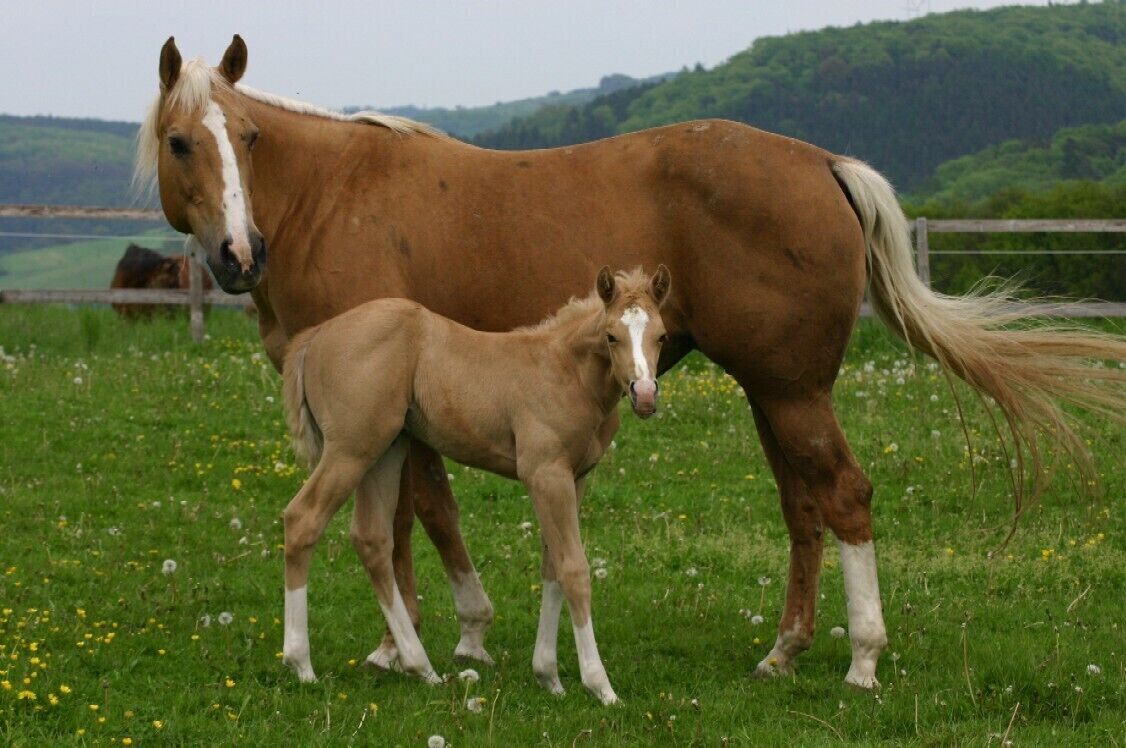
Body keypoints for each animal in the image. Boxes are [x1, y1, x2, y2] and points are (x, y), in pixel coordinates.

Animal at [279, 266, 670, 703]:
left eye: (661, 336)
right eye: (611, 336)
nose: (645, 395)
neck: (565, 370)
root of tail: (314, 337)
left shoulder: (575, 477)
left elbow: (552, 566)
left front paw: (548, 676)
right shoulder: (545, 475)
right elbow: (573, 569)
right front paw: (600, 685)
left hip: (385, 450)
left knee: (372, 538)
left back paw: (421, 668)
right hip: (351, 450)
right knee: (303, 519)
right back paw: (301, 664)